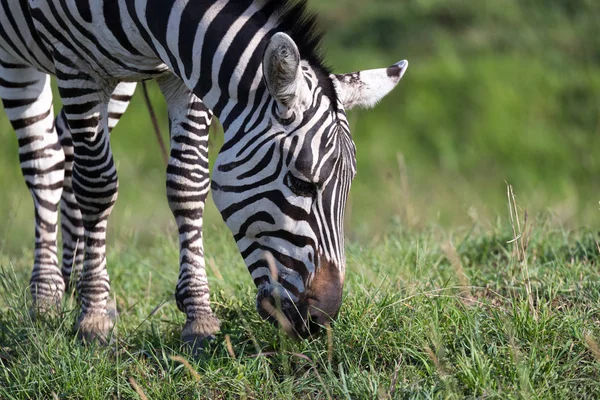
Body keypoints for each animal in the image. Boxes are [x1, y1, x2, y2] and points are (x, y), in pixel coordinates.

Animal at [3, 0, 408, 346]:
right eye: (300, 182)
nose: (321, 320)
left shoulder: (185, 72)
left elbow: (187, 182)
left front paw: (198, 318)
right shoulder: (77, 66)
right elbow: (98, 186)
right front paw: (94, 318)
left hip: (118, 79)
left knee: (66, 150)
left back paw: (70, 281)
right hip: (19, 57)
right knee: (45, 161)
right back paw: (46, 295)